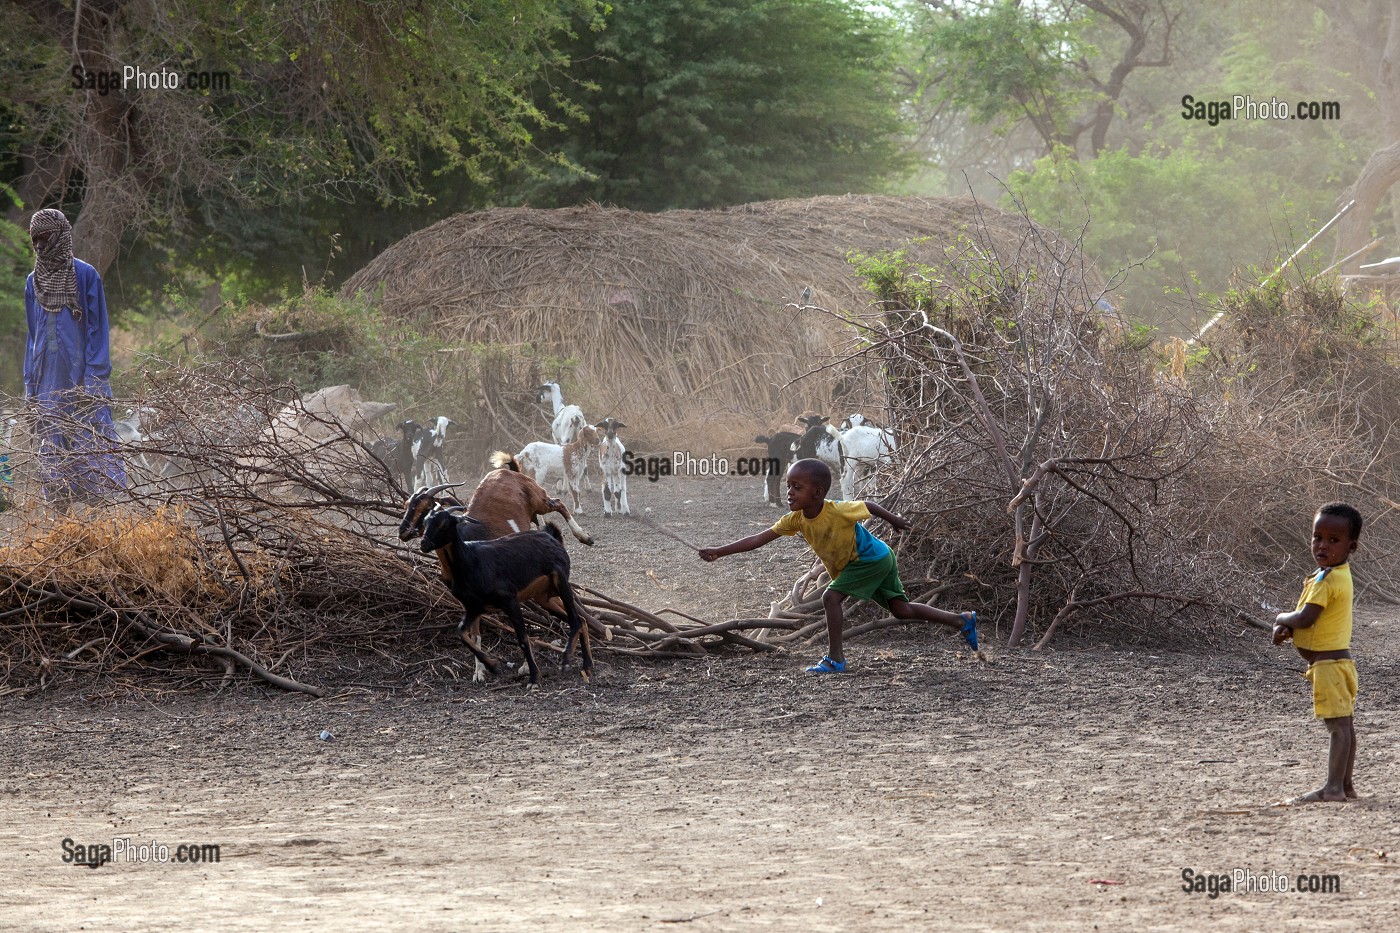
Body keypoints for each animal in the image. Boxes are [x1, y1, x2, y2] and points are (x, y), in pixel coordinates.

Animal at [414, 501, 590, 683]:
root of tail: (552, 537)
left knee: (576, 620)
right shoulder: (474, 607)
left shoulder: (509, 600)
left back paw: (567, 660)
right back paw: (587, 666)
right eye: (426, 522)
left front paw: (534, 677)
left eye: (443, 523)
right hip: (543, 597)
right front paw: (492, 665)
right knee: (581, 620)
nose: (423, 544)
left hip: (561, 581)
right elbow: (462, 633)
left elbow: (522, 638)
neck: (470, 561)